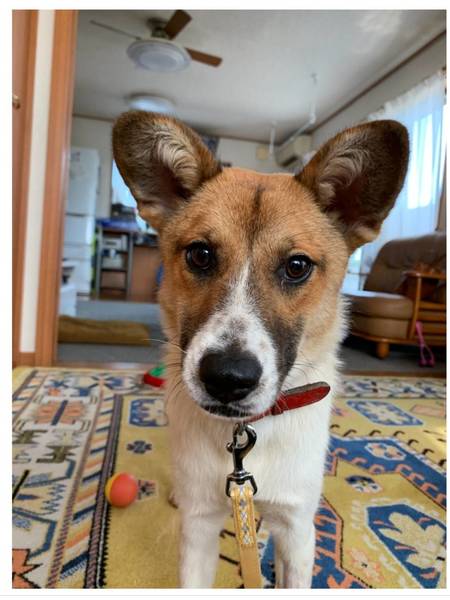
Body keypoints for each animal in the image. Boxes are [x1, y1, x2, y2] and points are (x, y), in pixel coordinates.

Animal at [112, 112, 408, 588]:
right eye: (200, 255)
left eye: (297, 266)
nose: (227, 379)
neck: (249, 435)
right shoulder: (200, 528)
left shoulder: (297, 530)